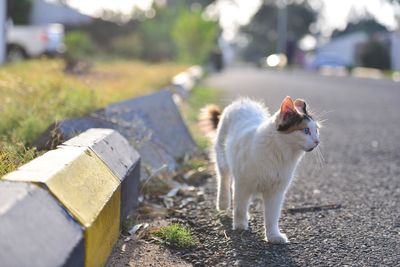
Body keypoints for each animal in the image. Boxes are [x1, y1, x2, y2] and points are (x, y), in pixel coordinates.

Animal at [202, 97, 320, 245]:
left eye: (316, 130)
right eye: (305, 130)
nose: (317, 141)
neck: (280, 154)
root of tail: (242, 102)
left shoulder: (276, 192)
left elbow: (272, 217)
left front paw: (273, 236)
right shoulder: (242, 184)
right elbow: (240, 207)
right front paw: (240, 226)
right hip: (222, 157)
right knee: (223, 178)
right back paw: (223, 203)